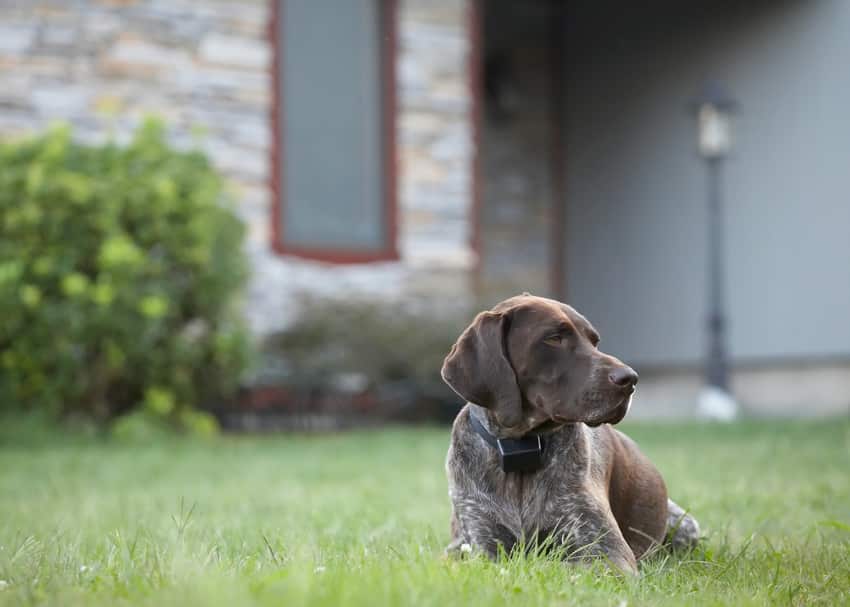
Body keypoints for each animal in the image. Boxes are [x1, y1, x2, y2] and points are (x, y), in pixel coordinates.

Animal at [440, 294, 700, 576]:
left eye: (594, 341)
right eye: (554, 338)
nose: (630, 379)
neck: (522, 451)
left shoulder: (607, 552)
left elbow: (552, 565)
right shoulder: (484, 548)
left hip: (685, 525)